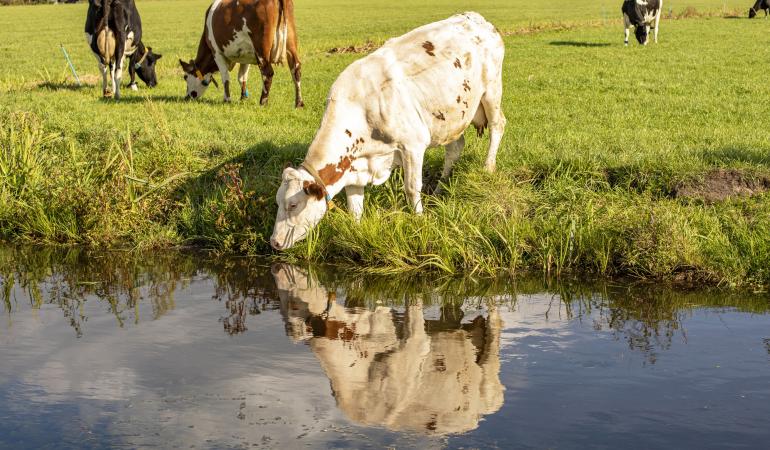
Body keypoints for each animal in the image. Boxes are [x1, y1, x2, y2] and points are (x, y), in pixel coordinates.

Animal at [270, 11, 504, 250]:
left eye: (293, 205)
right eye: (278, 202)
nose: (274, 241)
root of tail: (475, 18)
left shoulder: (413, 146)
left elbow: (412, 188)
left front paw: (419, 220)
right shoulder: (354, 167)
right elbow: (355, 206)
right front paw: (356, 233)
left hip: (492, 91)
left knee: (498, 125)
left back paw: (488, 167)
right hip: (452, 118)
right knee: (455, 148)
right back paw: (440, 188)